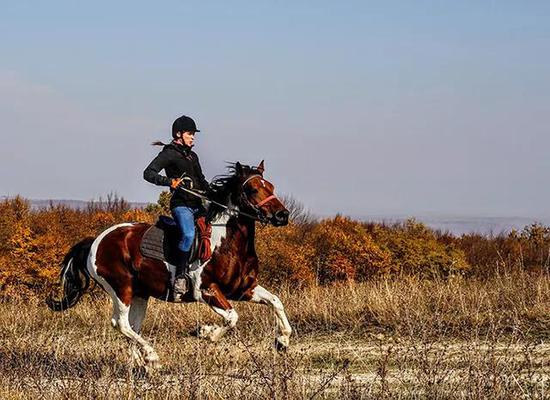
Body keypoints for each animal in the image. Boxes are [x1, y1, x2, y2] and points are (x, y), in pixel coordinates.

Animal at [46, 161, 294, 368]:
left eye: (271, 186)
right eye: (252, 189)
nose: (282, 215)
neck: (228, 242)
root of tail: (96, 241)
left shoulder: (243, 289)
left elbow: (275, 301)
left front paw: (282, 340)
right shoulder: (206, 290)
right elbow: (232, 317)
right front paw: (206, 332)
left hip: (140, 294)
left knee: (132, 327)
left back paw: (142, 363)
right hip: (121, 288)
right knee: (121, 323)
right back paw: (152, 356)